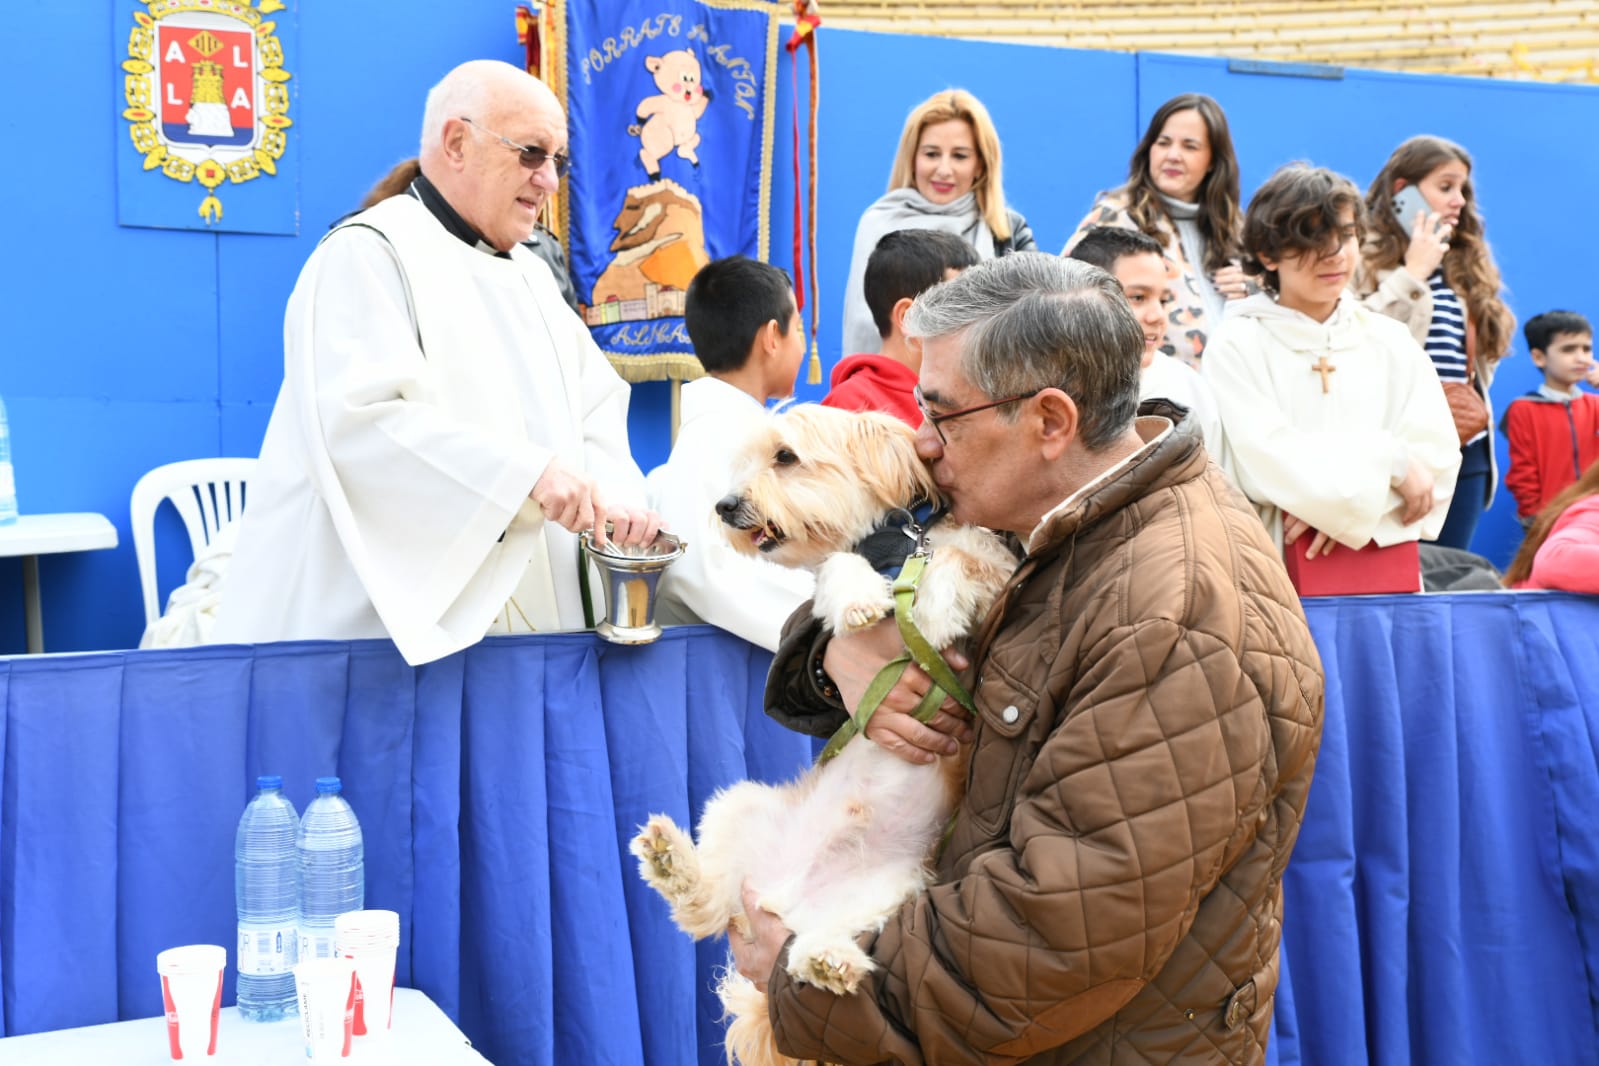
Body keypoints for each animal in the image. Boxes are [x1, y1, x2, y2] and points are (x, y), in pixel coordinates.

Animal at [626, 404, 1010, 1061]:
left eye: (785, 457)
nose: (725, 505)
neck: (897, 545)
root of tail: (785, 895)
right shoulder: (846, 565)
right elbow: (838, 566)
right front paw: (860, 602)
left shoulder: (997, 562)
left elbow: (960, 559)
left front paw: (932, 609)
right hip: (738, 807)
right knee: (705, 908)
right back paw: (672, 861)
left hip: (890, 893)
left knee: (814, 947)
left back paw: (829, 960)